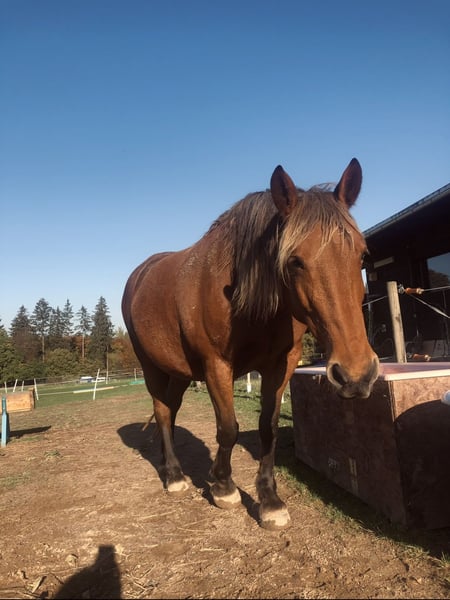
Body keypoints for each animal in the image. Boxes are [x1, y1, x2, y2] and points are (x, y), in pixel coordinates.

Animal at [122, 158, 379, 530]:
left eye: (361, 255)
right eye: (295, 261)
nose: (356, 375)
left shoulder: (282, 364)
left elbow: (267, 428)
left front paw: (270, 501)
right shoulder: (217, 366)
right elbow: (228, 428)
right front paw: (223, 486)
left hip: (180, 372)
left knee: (169, 411)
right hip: (151, 366)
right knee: (161, 410)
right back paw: (174, 476)